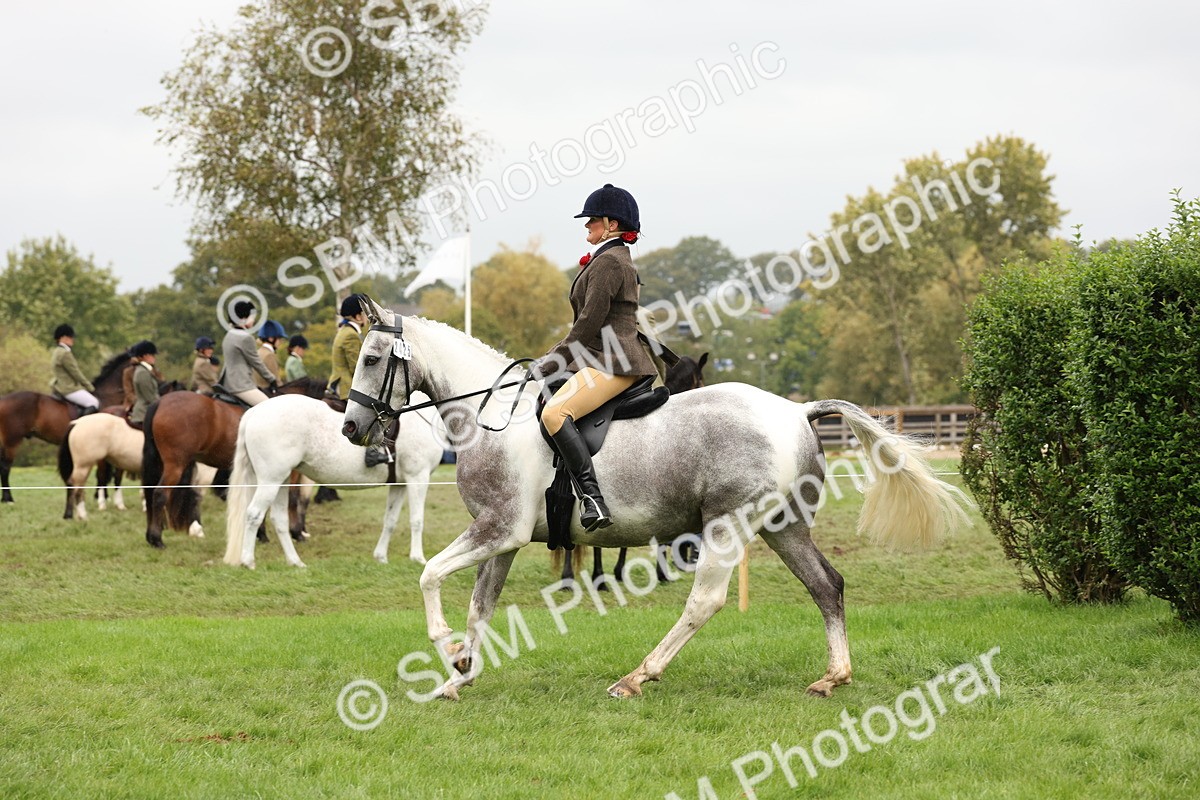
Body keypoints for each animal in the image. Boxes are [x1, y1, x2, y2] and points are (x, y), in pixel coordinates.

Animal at [140, 377, 329, 548]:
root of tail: (160, 401)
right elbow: (292, 497)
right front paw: (296, 533)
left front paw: (260, 534)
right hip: (175, 465)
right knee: (159, 494)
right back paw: (157, 539)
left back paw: (151, 537)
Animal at [223, 393, 443, 569]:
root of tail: (254, 412)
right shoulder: (418, 477)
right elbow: (417, 520)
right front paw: (418, 558)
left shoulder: (399, 484)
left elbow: (390, 520)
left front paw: (381, 557)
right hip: (270, 481)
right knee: (253, 514)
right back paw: (248, 561)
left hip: (281, 480)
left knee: (279, 519)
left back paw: (295, 562)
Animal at [340, 302, 971, 700]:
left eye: (371, 359)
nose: (351, 428)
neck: (490, 414)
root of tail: (797, 409)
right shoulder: (502, 539)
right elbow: (480, 607)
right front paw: (461, 674)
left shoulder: (499, 530)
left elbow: (429, 574)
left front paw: (447, 649)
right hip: (782, 526)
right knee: (827, 585)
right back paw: (833, 677)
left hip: (727, 525)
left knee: (705, 601)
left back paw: (637, 677)